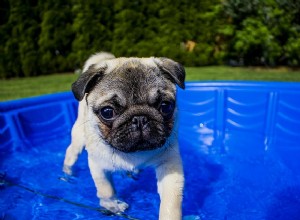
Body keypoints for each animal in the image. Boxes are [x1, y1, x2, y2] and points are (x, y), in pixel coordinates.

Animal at [63, 52, 184, 220]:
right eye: (107, 112)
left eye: (165, 106)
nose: (139, 118)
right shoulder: (98, 165)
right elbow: (106, 189)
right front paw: (112, 204)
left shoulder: (169, 164)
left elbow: (171, 202)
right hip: (79, 139)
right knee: (71, 153)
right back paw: (67, 173)